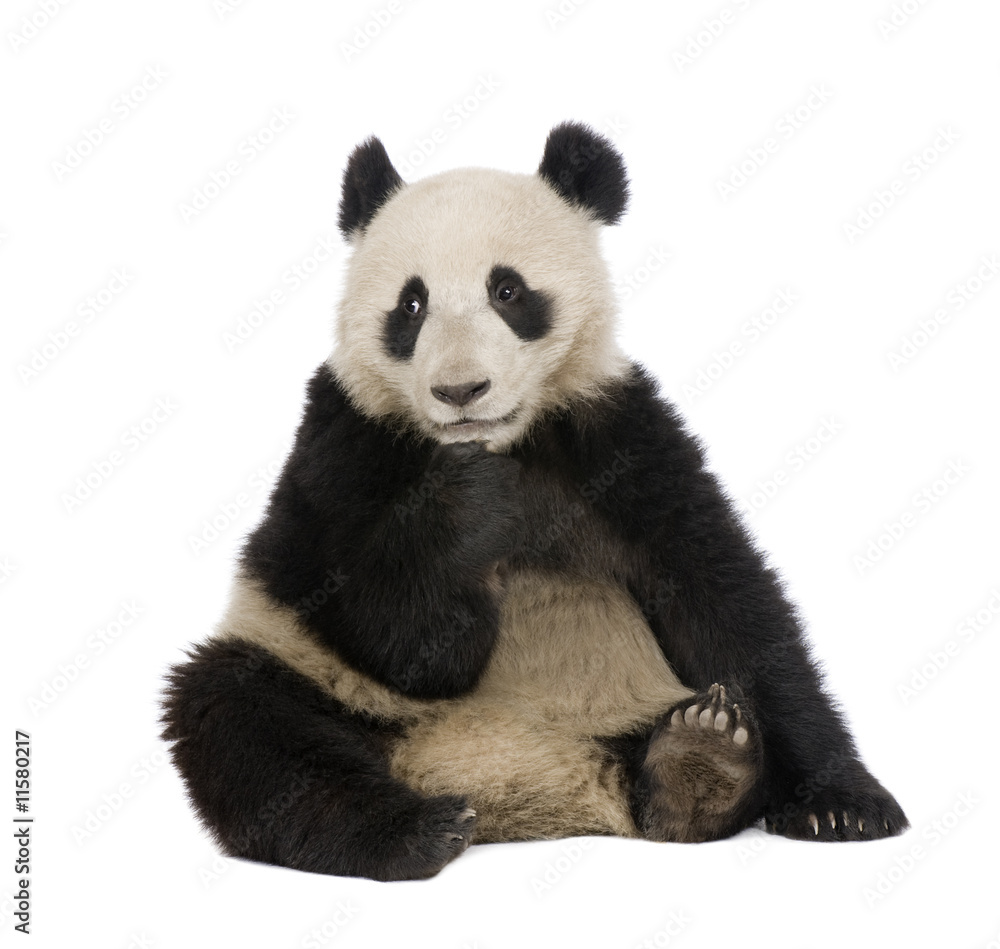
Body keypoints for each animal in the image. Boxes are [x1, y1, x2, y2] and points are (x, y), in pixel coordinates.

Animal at [162, 122, 908, 881]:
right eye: (411, 304)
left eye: (508, 290)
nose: (460, 390)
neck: (501, 442)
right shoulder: (341, 445)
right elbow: (385, 627)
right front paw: (471, 508)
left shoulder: (619, 436)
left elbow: (726, 599)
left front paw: (841, 804)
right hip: (315, 678)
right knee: (242, 718)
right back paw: (412, 831)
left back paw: (698, 763)